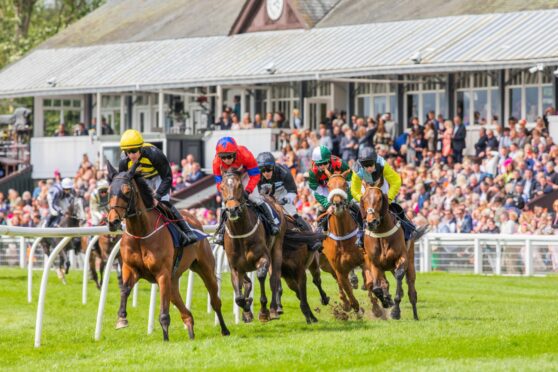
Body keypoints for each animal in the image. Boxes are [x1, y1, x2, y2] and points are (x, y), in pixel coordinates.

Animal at [106, 161, 231, 342]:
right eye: (109, 191)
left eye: (127, 191)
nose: (113, 221)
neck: (141, 233)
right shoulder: (131, 269)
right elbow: (124, 289)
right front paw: (121, 318)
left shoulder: (162, 274)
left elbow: (164, 314)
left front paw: (165, 340)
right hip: (173, 280)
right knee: (185, 312)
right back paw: (191, 333)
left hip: (204, 268)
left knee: (215, 300)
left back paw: (224, 330)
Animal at [220, 169, 286, 322]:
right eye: (221, 187)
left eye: (239, 186)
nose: (232, 210)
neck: (240, 232)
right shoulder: (235, 267)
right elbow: (239, 296)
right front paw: (246, 309)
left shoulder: (263, 257)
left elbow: (262, 276)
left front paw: (263, 311)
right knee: (247, 283)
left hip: (277, 248)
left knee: (274, 279)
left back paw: (274, 309)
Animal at [320, 170, 384, 316]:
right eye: (329, 186)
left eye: (345, 185)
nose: (337, 203)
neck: (342, 236)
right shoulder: (338, 269)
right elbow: (345, 287)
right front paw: (354, 307)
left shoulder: (364, 260)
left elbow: (369, 282)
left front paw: (377, 308)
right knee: (340, 283)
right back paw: (345, 303)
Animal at [364, 181, 420, 320]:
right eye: (364, 199)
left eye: (380, 199)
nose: (371, 222)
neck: (381, 233)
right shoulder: (374, 263)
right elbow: (377, 287)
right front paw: (386, 301)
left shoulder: (402, 258)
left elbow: (399, 279)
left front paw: (395, 311)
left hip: (410, 263)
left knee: (411, 290)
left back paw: (415, 315)